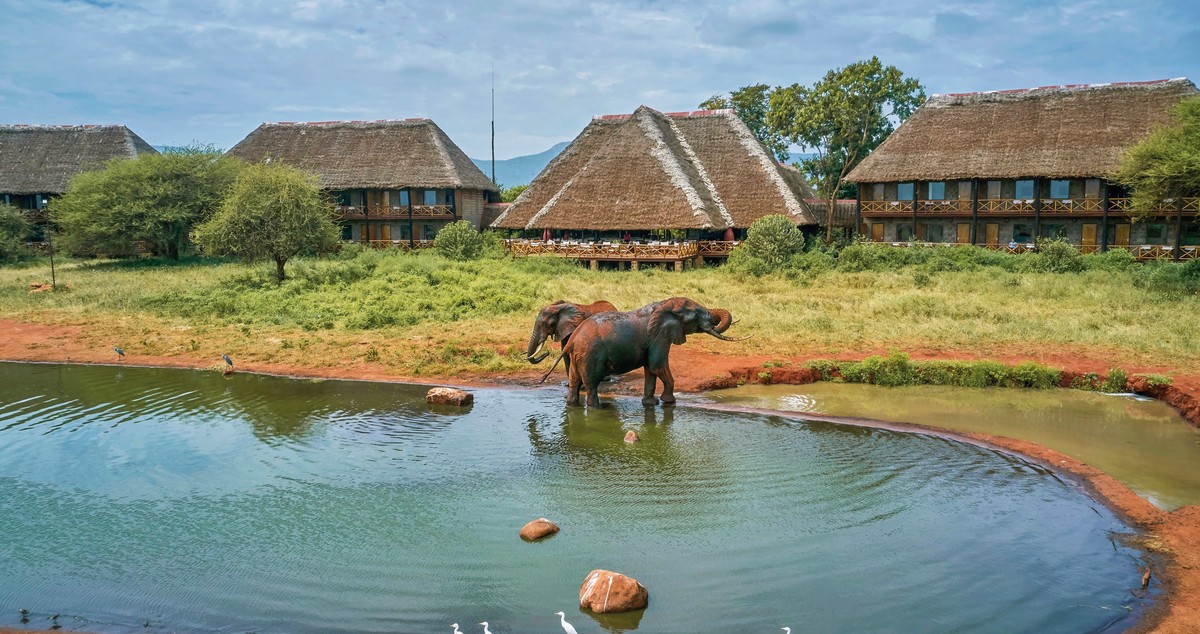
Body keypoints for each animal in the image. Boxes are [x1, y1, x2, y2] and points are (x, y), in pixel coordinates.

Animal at [549, 295, 744, 405]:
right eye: (696, 315)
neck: (664, 305)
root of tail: (573, 339)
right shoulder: (659, 337)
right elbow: (658, 365)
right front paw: (669, 402)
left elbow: (651, 369)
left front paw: (651, 403)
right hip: (590, 355)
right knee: (590, 383)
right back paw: (596, 408)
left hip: (579, 355)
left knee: (574, 382)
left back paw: (572, 404)